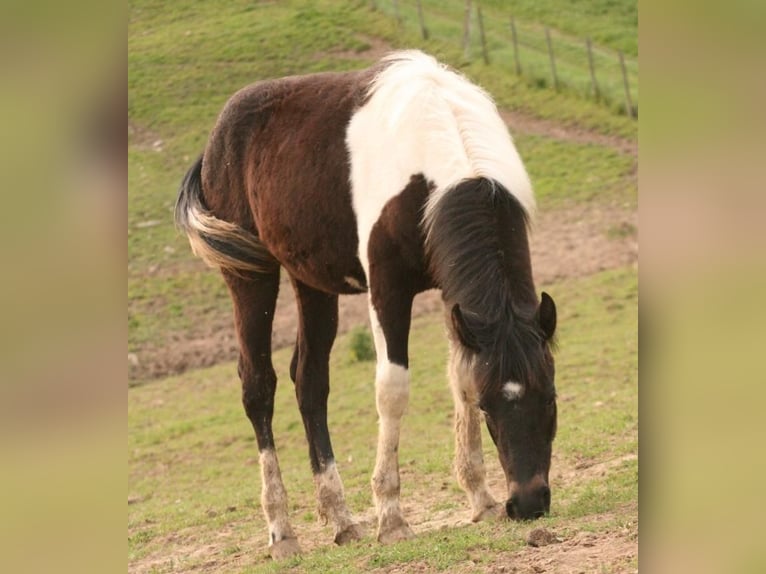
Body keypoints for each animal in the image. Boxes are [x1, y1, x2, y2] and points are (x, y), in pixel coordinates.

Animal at [176, 50, 560, 564]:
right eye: (490, 406)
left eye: (551, 397)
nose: (530, 503)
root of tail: (217, 138)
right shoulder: (387, 290)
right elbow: (392, 390)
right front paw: (392, 518)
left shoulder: (454, 294)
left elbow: (460, 375)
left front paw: (481, 499)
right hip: (250, 275)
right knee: (258, 386)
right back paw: (282, 531)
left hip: (310, 282)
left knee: (309, 382)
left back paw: (341, 520)